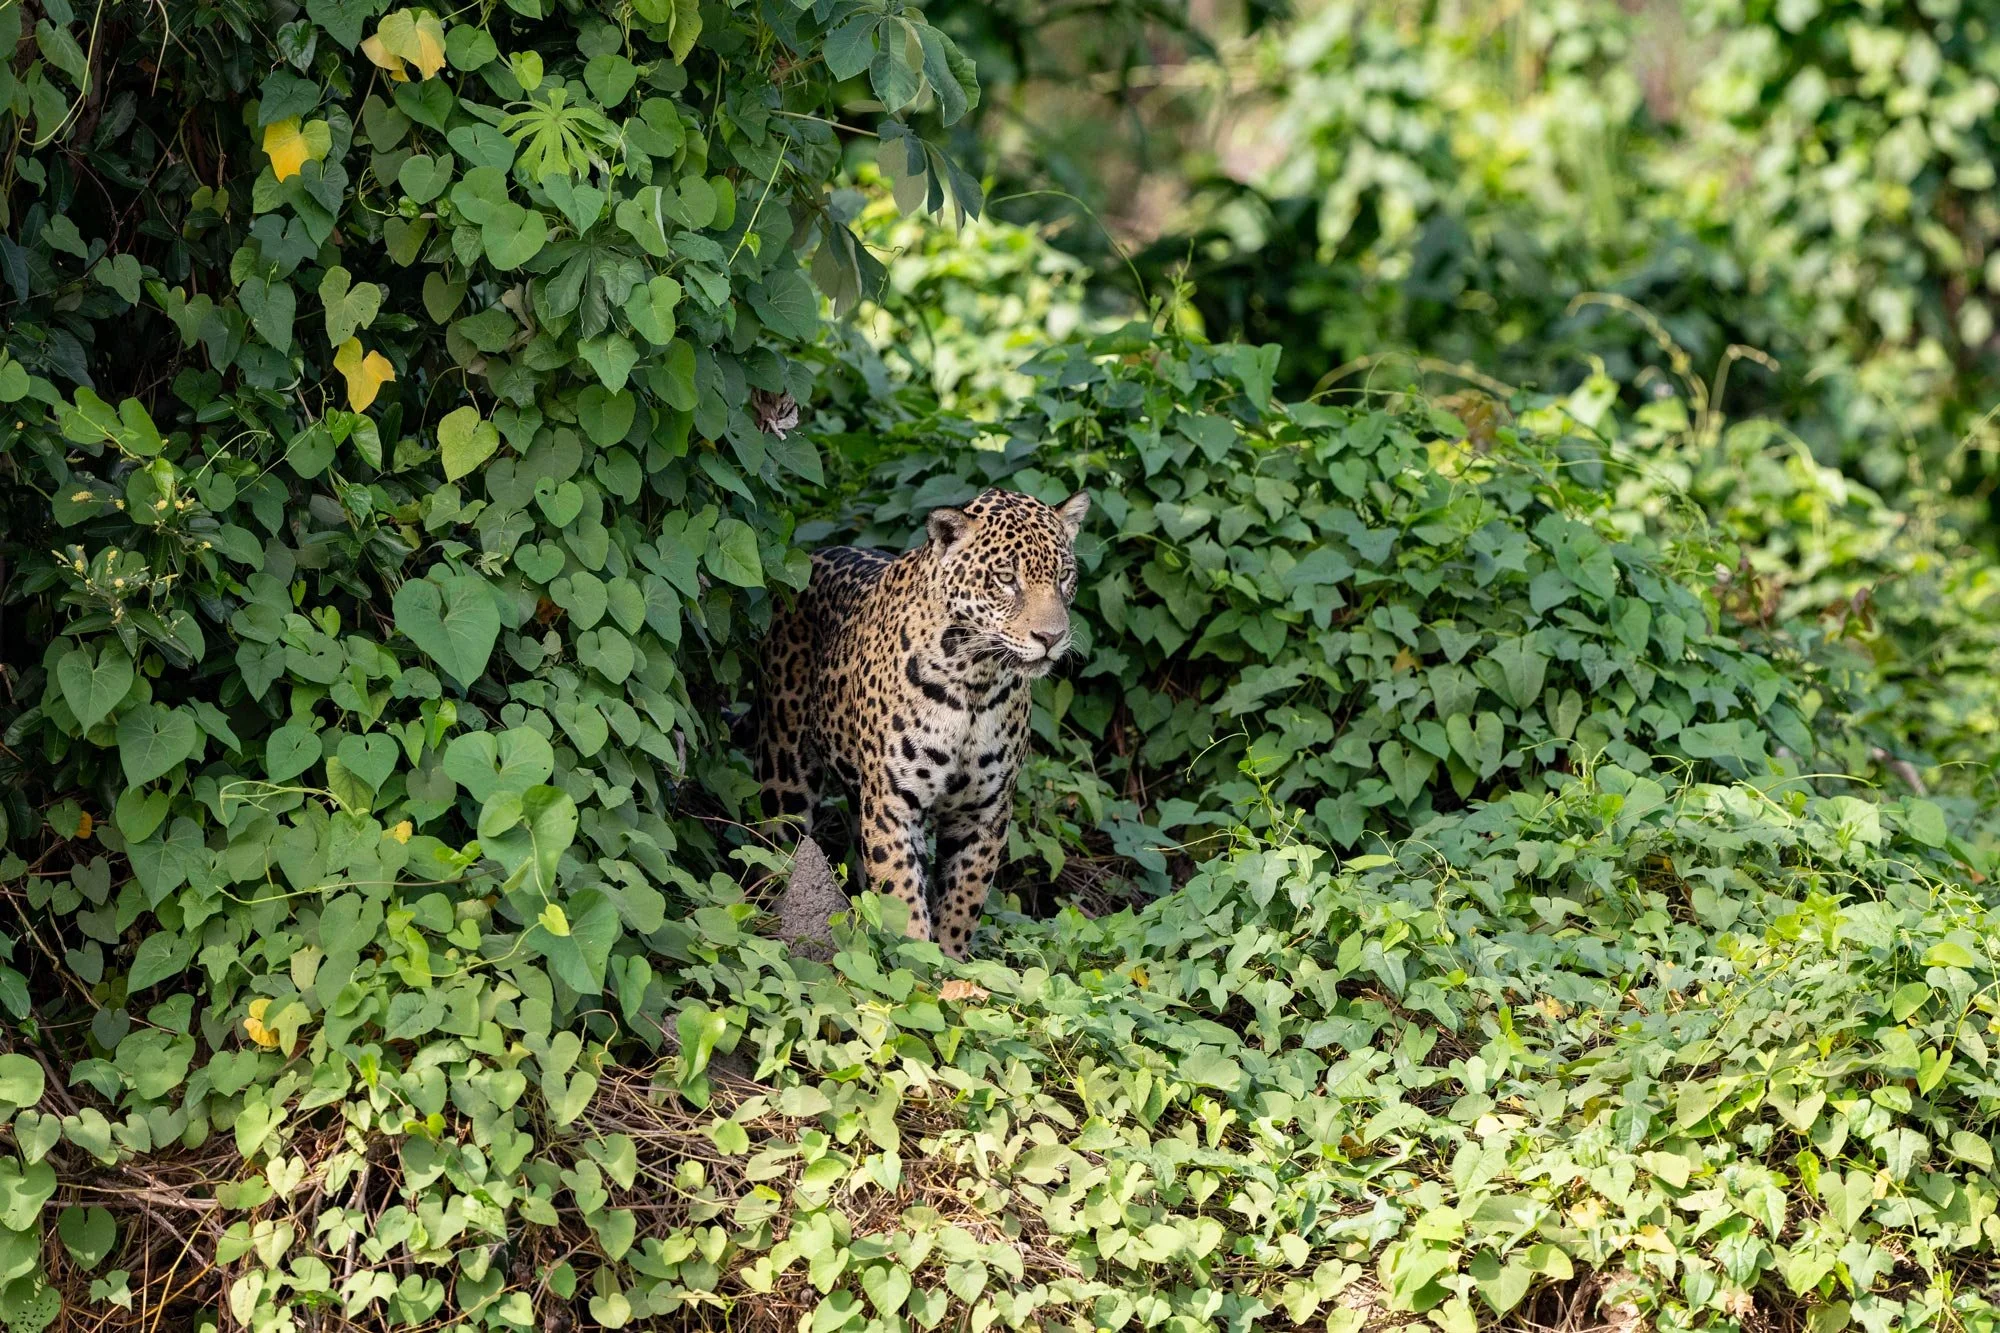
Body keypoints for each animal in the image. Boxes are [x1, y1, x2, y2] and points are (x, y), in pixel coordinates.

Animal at [758, 487, 1091, 959]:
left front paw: (952, 963)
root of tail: (815, 554)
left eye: (1064, 576)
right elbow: (903, 899)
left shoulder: (983, 812)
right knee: (775, 848)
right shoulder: (892, 804)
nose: (1052, 637)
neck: (976, 682)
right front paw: (918, 964)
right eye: (1006, 578)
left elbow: (962, 900)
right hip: (786, 774)